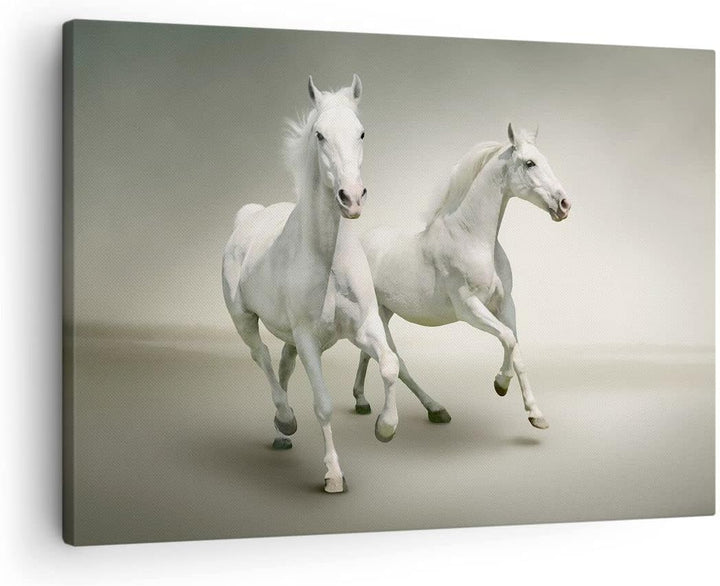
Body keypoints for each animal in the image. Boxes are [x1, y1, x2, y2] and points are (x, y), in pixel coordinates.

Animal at [222, 75, 401, 493]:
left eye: (361, 132)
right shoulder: (308, 340)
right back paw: (285, 419)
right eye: (320, 135)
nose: (352, 197)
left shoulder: (364, 326)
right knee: (262, 357)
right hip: (244, 319)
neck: (329, 259)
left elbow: (389, 364)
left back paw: (281, 431)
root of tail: (248, 217)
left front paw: (385, 427)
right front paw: (333, 474)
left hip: (288, 336)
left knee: (283, 366)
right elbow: (322, 404)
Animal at [351, 124, 571, 430]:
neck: (472, 239)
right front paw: (501, 384)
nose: (564, 204)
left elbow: (517, 349)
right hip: (378, 315)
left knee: (368, 354)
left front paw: (534, 413)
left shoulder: (505, 304)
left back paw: (362, 401)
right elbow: (508, 339)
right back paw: (434, 409)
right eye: (530, 163)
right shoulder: (469, 308)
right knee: (395, 361)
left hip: (384, 312)